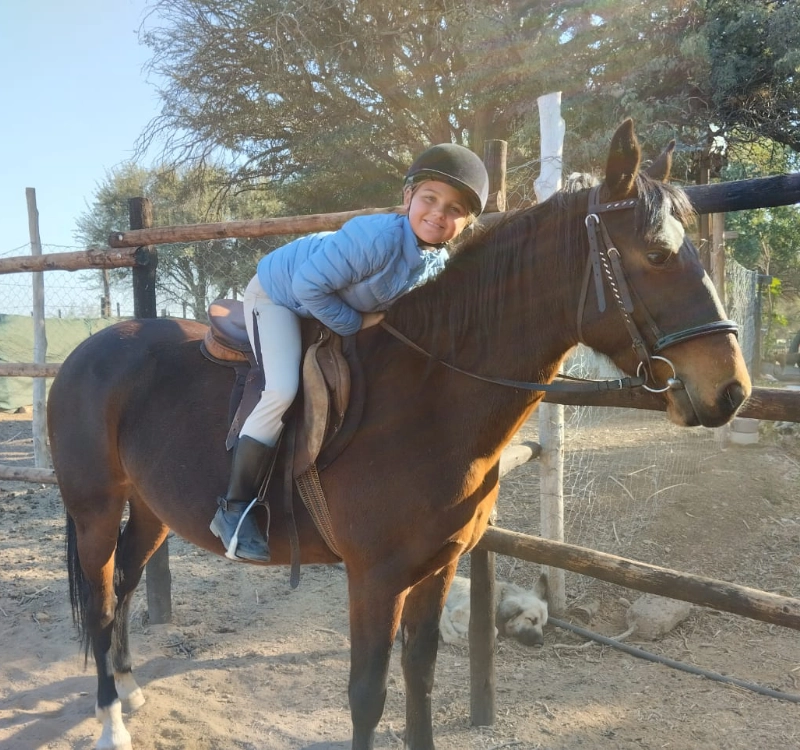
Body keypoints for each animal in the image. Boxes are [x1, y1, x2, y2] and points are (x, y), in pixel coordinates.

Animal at [47, 119, 751, 750]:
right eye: (657, 254)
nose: (732, 390)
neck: (427, 401)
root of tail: (90, 348)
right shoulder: (375, 578)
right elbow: (368, 695)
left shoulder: (437, 567)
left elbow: (421, 677)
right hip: (94, 509)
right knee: (103, 599)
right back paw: (111, 723)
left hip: (151, 509)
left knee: (125, 582)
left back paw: (129, 689)